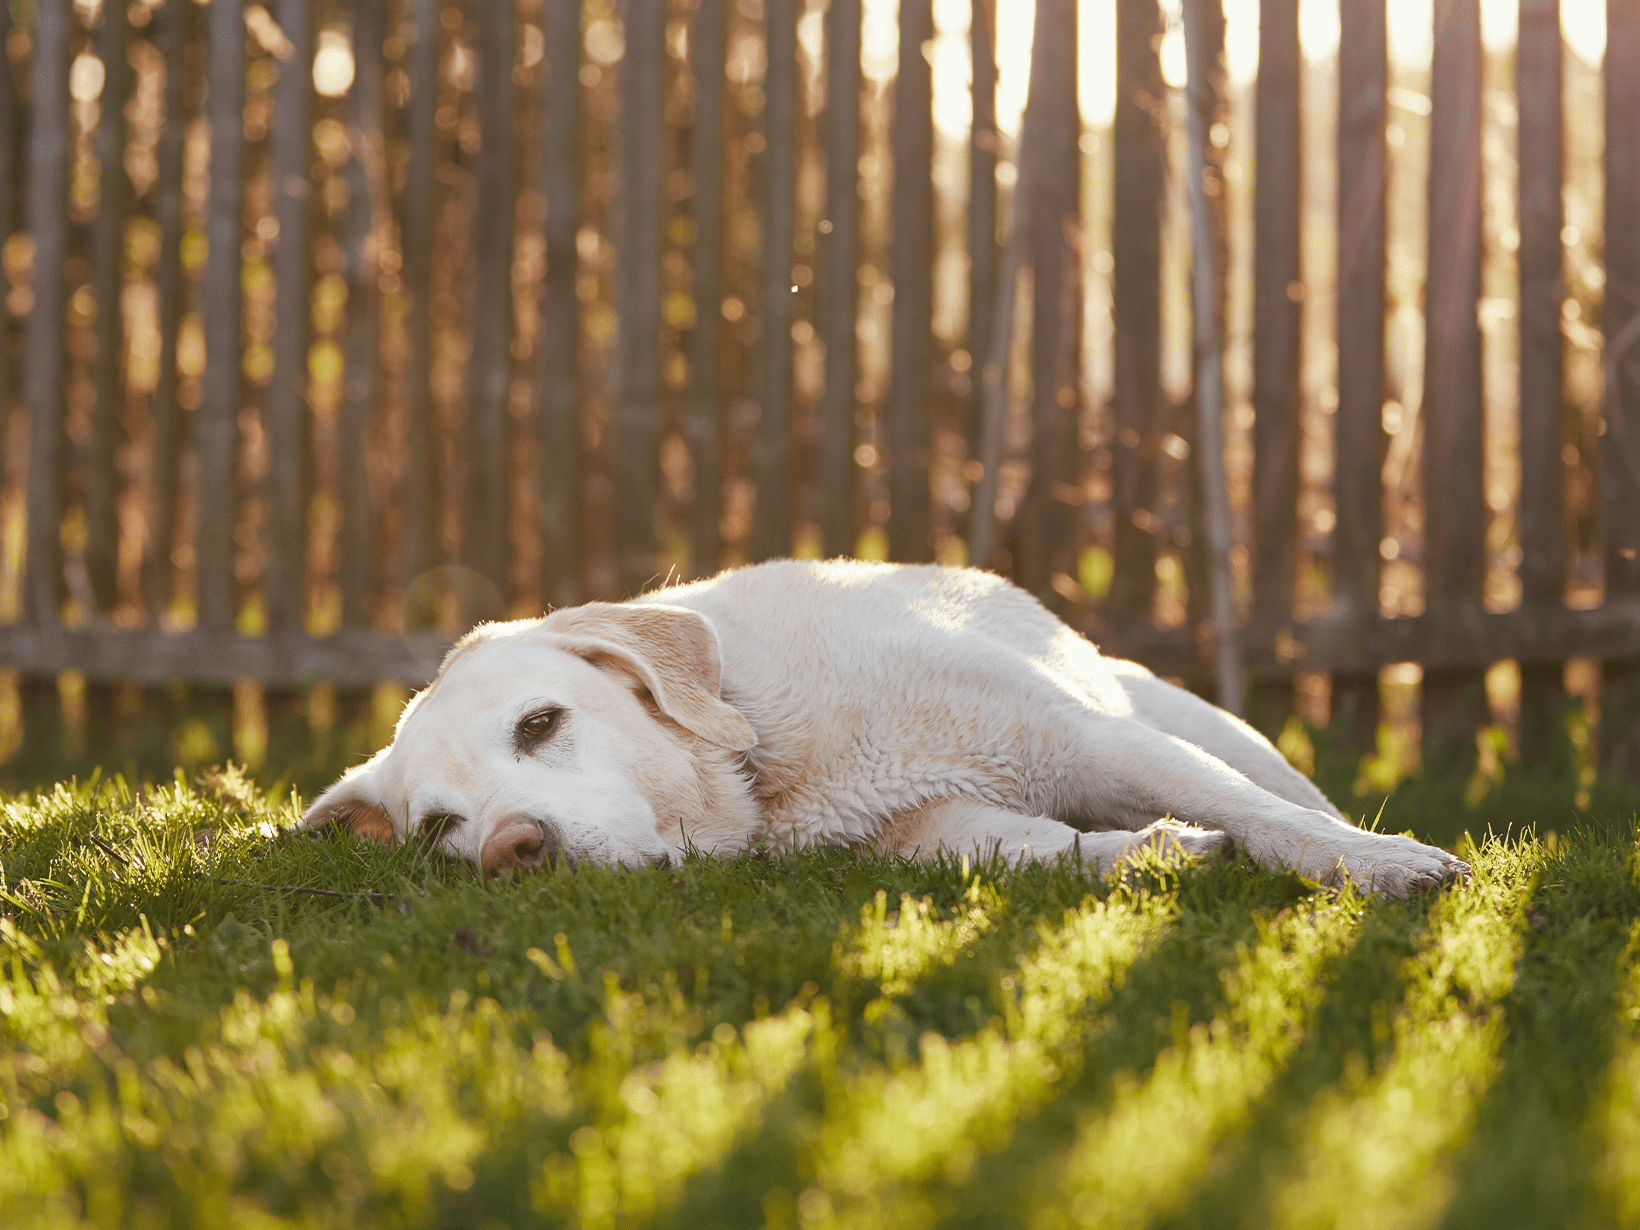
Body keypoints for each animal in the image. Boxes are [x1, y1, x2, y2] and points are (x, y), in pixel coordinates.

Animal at [305, 557, 1476, 898]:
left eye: (542, 722)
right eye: (440, 829)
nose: (514, 849)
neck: (771, 757)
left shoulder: (1095, 741)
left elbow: (1268, 819)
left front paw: (1382, 866)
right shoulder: (914, 831)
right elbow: (1032, 846)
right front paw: (1148, 850)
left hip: (1194, 723)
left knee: (1279, 791)